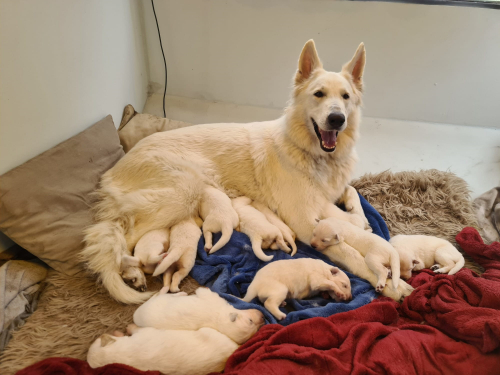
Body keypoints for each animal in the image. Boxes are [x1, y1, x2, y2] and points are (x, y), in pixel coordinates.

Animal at [133, 288, 266, 346]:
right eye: (250, 321)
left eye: (256, 330)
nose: (264, 317)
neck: (220, 320)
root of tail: (135, 317)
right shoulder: (211, 297)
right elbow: (203, 290)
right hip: (155, 301)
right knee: (160, 293)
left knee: (160, 293)